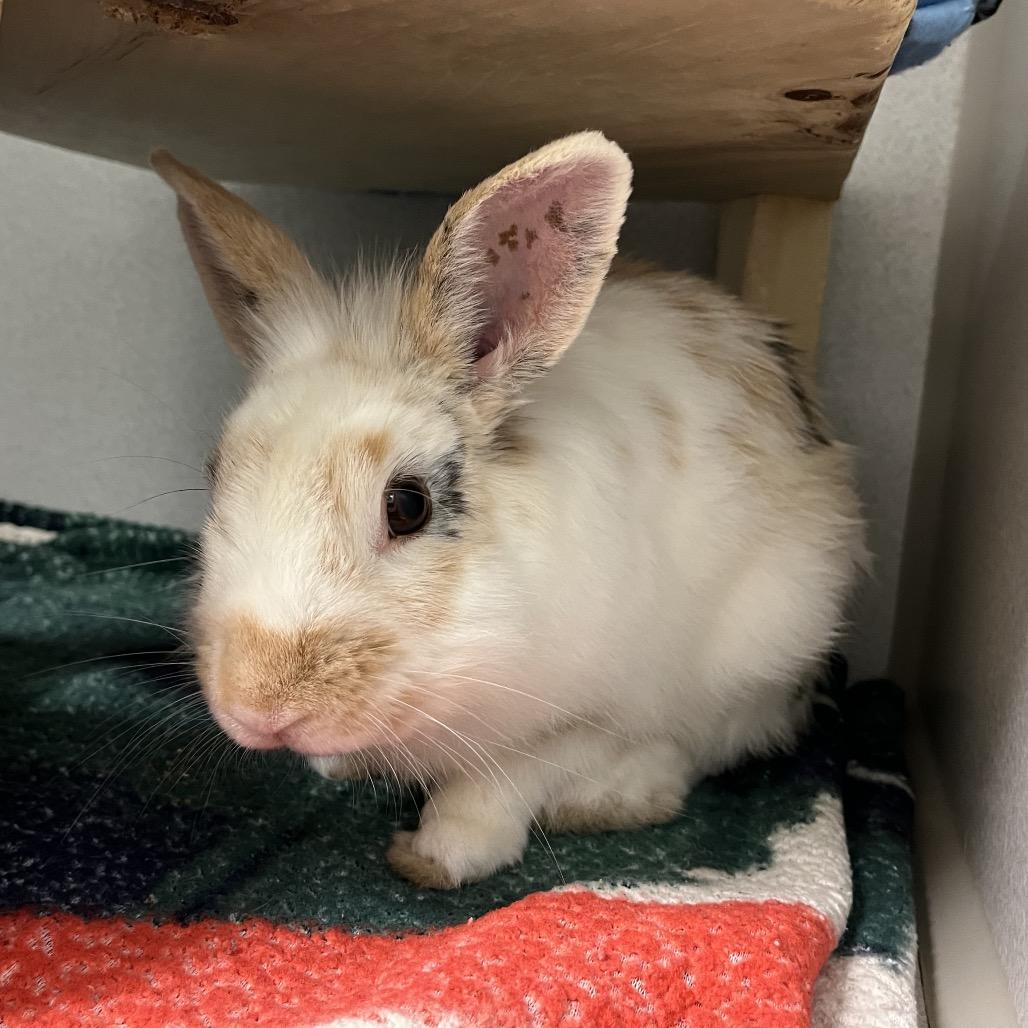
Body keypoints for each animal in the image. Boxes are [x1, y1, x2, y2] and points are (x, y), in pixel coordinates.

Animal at [151, 132, 864, 889]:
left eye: (408, 506)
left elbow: (500, 785)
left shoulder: (579, 716)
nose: (256, 708)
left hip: (765, 642)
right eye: (217, 476)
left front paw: (436, 857)